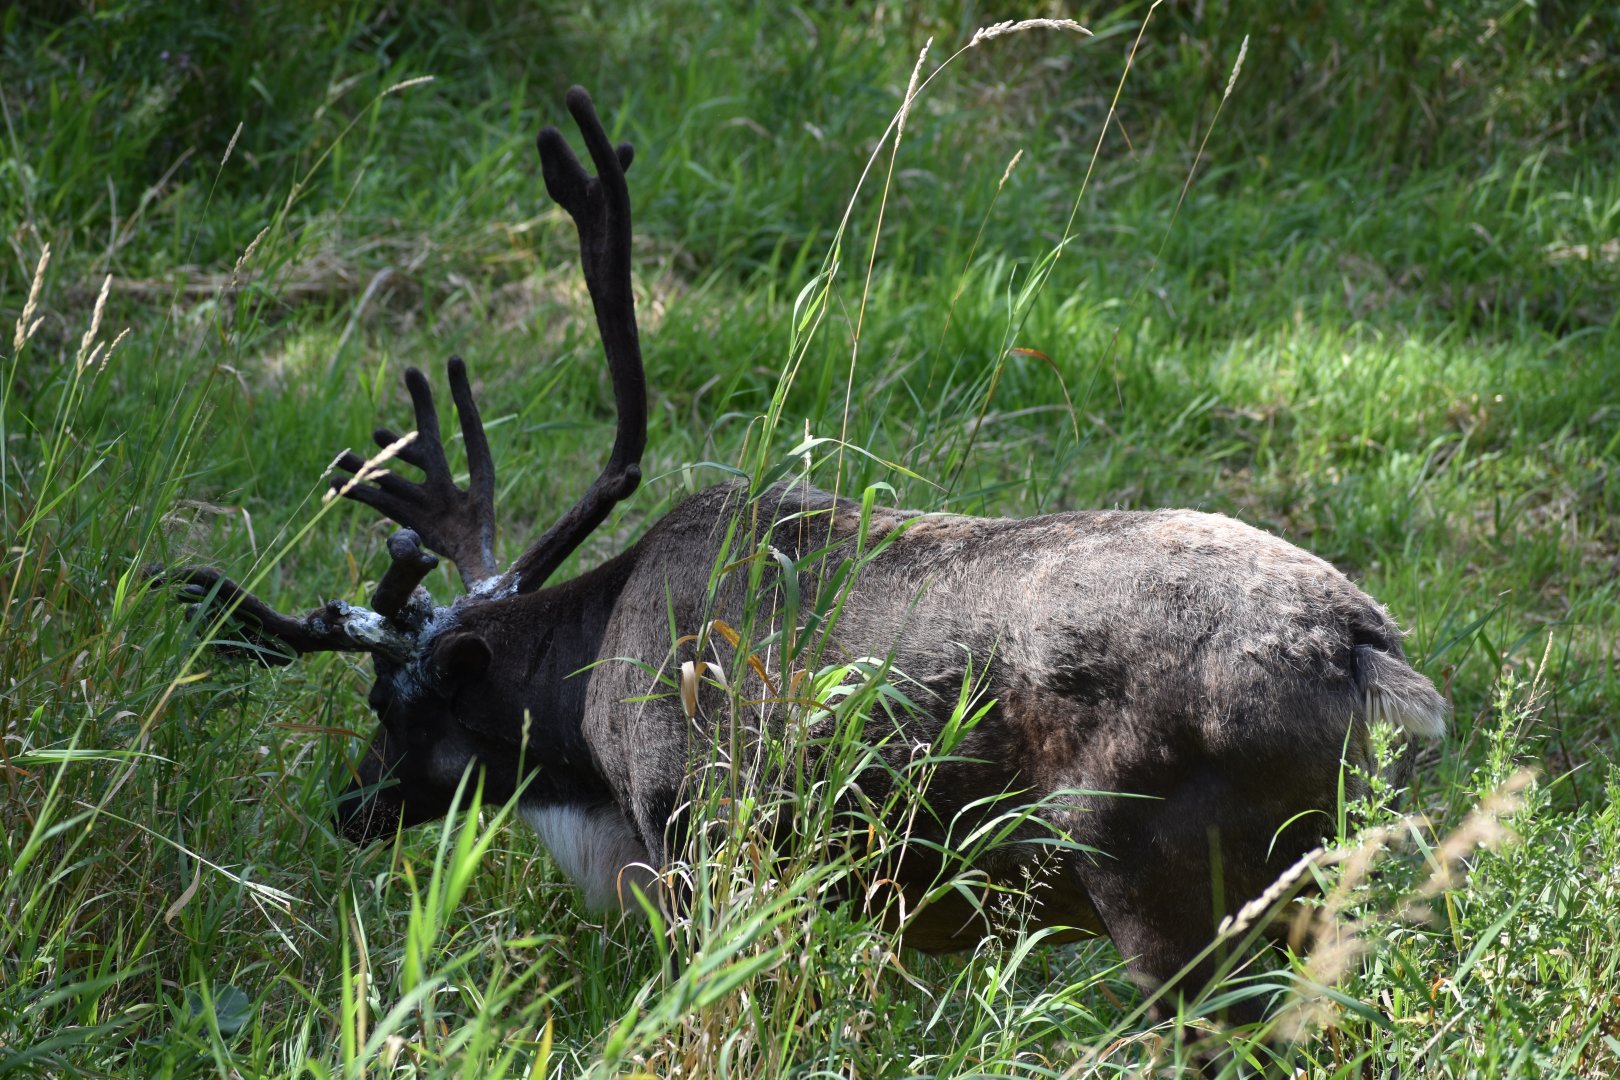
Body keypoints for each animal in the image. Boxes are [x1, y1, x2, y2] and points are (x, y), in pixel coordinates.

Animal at [170, 86, 1447, 1024]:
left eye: (391, 699)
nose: (351, 805)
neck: (583, 707)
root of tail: (1370, 656)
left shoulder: (699, 840)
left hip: (1173, 896)